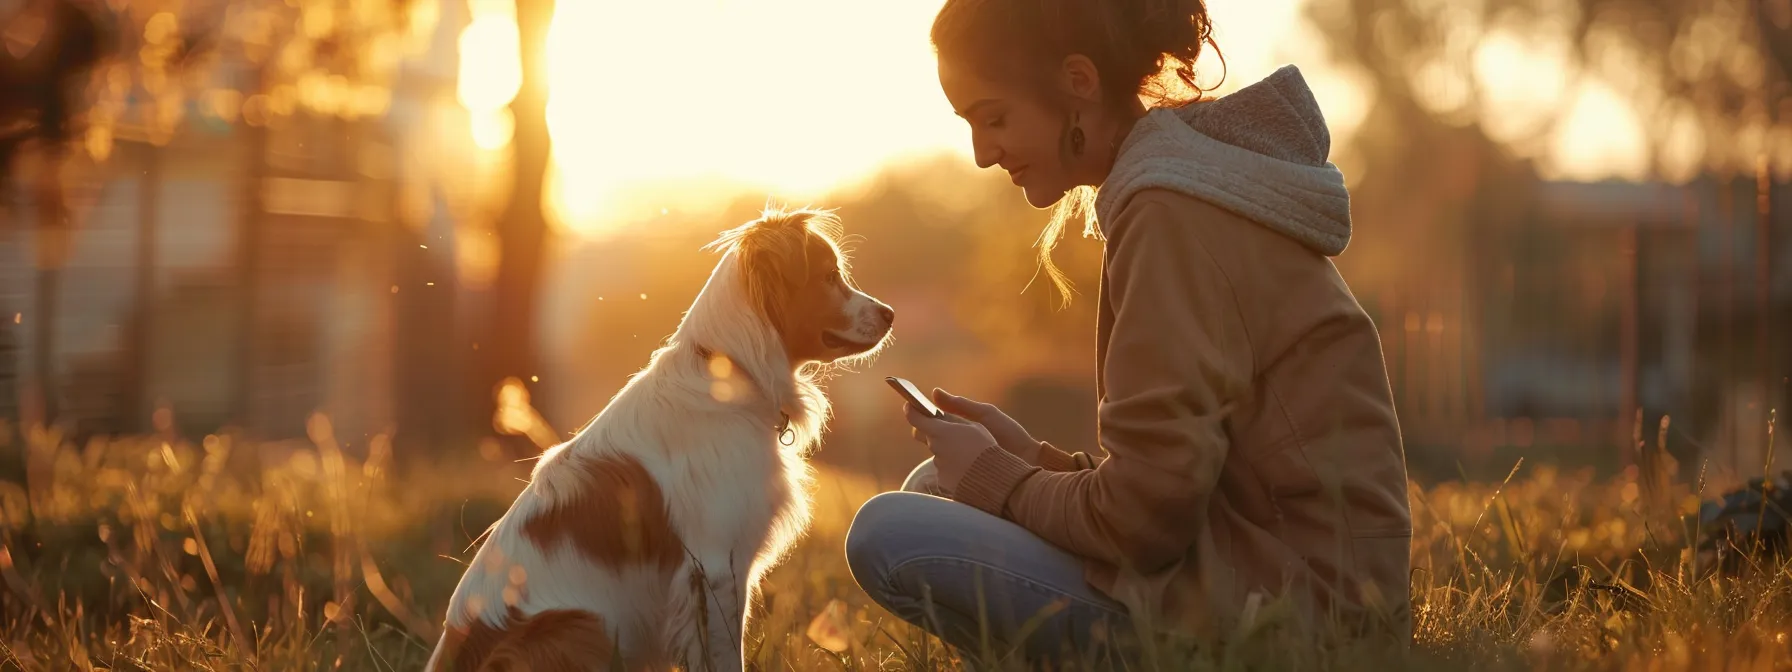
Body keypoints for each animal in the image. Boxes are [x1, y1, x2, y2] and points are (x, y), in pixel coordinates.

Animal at [421, 207, 896, 670]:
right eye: (830, 276)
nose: (890, 313)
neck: (734, 374)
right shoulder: (714, 565)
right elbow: (727, 654)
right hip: (583, 623)